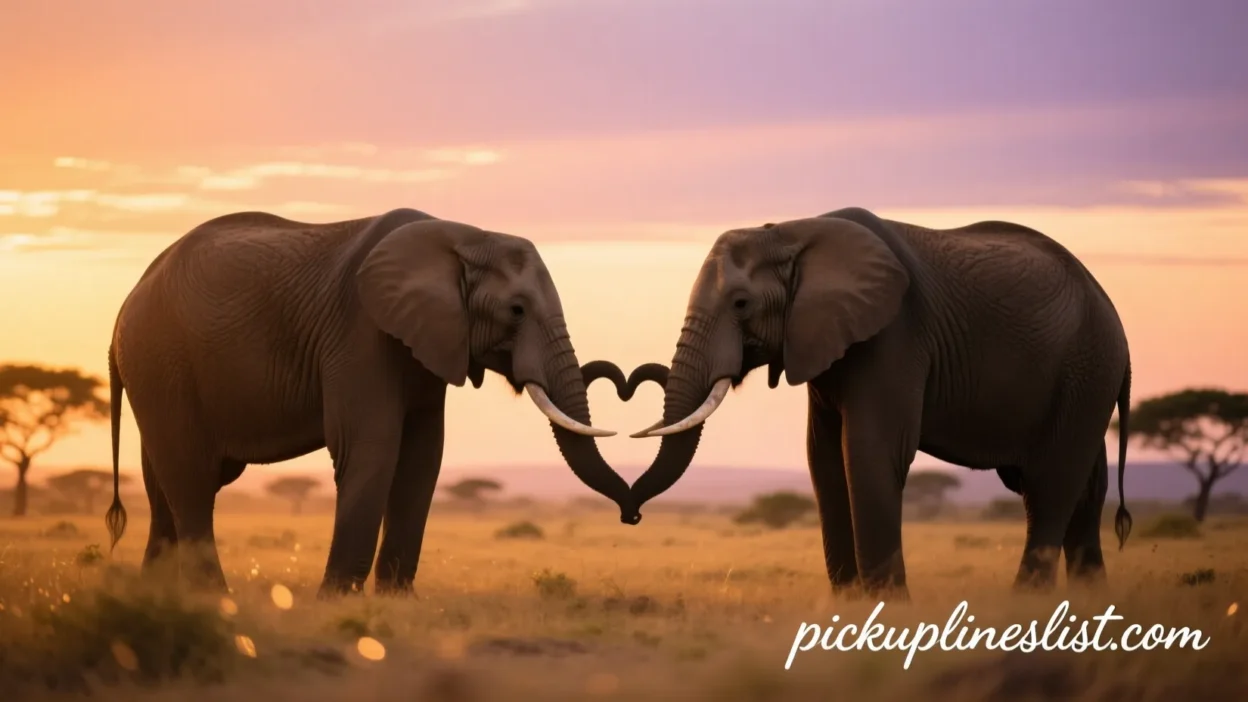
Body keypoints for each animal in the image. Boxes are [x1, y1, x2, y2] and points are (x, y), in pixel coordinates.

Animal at [103, 208, 638, 597]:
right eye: (517, 310)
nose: (631, 516)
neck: (463, 237)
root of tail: (126, 303)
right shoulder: (359, 331)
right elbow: (372, 447)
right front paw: (335, 600)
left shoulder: (428, 342)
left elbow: (423, 457)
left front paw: (398, 601)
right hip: (161, 357)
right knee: (192, 477)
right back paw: (214, 598)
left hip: (158, 370)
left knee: (164, 482)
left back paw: (155, 598)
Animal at [627, 207, 1133, 598]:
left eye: (740, 304)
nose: (631, 513)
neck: (791, 233)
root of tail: (1111, 307)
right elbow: (824, 458)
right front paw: (849, 606)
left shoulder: (894, 335)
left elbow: (870, 451)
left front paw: (888, 610)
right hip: (1086, 375)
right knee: (1087, 488)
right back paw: (1090, 601)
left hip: (1087, 366)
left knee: (1049, 483)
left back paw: (1025, 604)